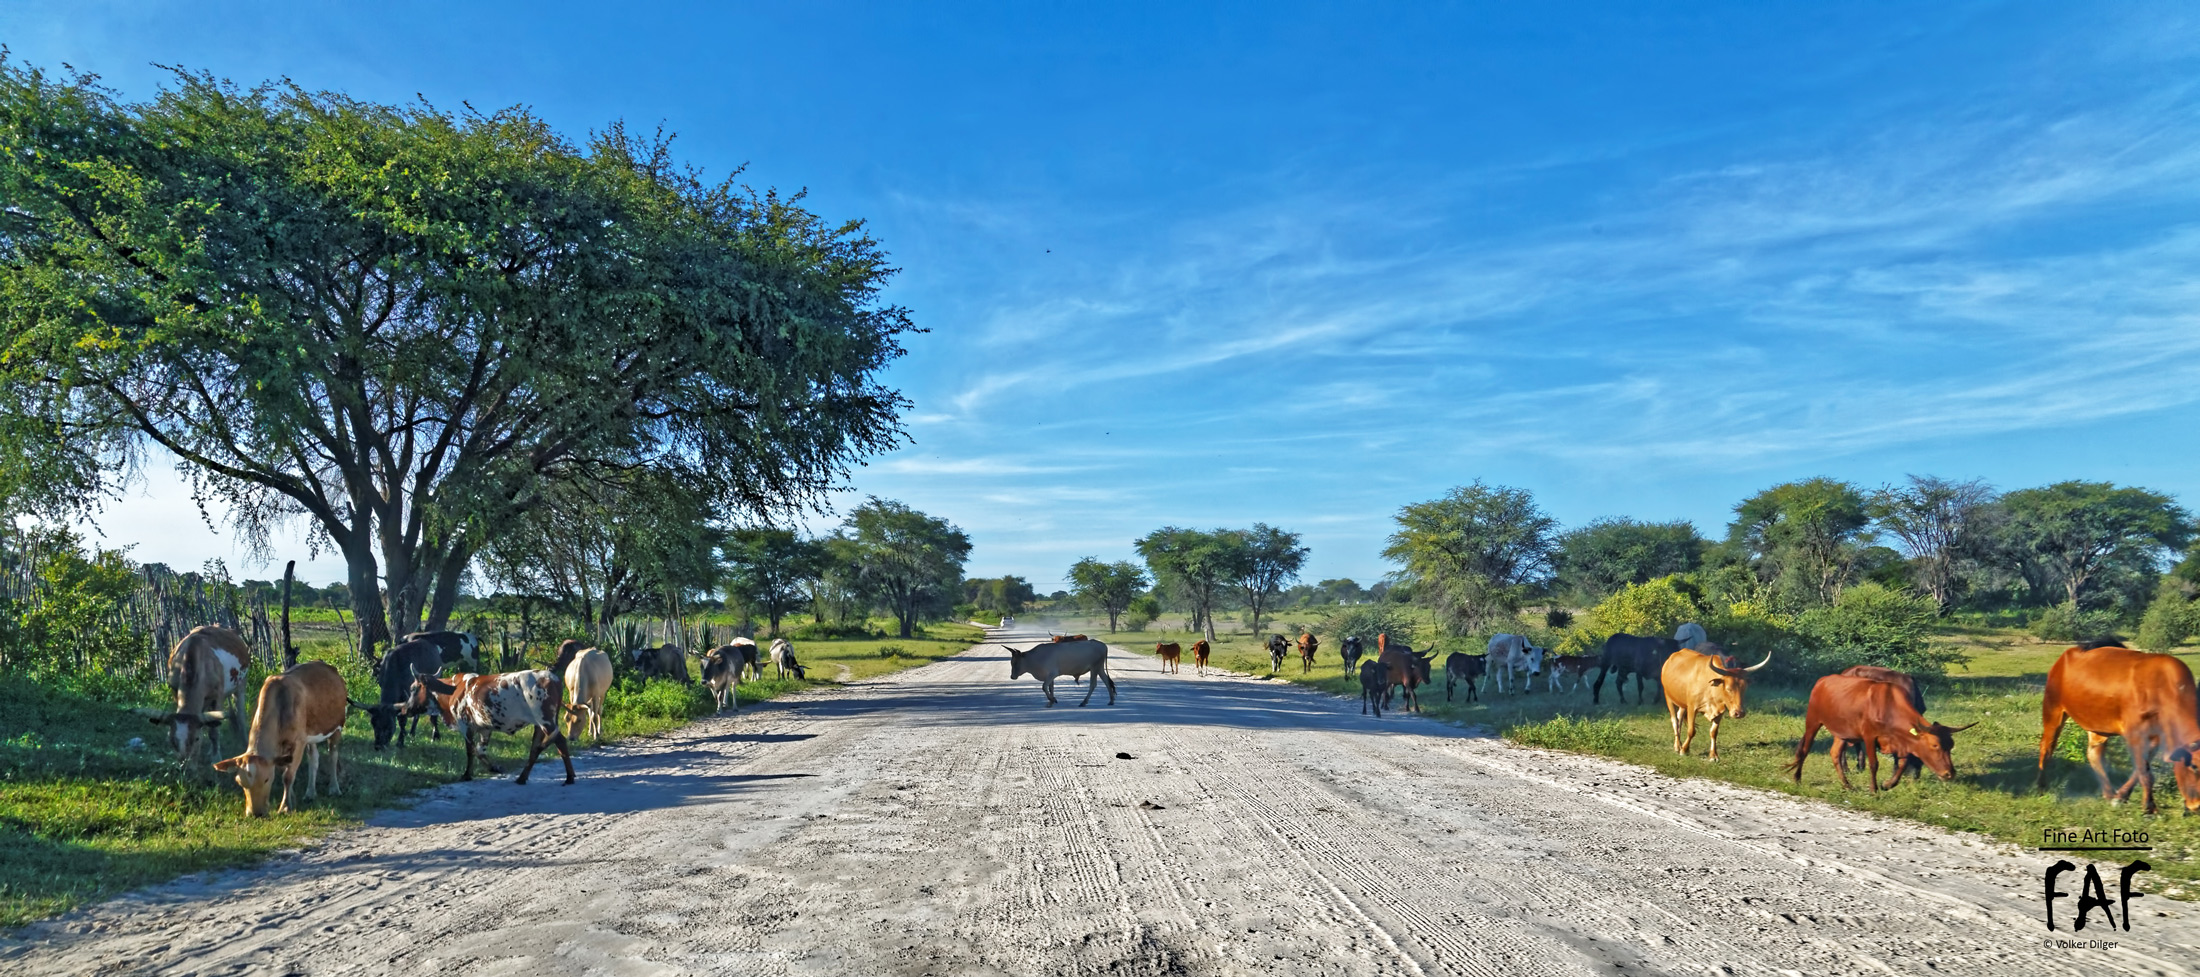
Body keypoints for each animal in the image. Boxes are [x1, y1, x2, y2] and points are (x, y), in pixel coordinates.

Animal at [139, 624, 251, 761]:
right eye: (172, 740)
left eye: (195, 739)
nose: (184, 760)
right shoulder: (175, 690)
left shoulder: (217, 696)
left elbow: (214, 731)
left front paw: (216, 757)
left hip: (241, 685)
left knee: (240, 715)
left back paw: (244, 742)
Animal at [212, 655, 345, 818]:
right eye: (239, 781)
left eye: (267, 779)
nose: (255, 813)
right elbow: (285, 771)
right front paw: (292, 798)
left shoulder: (298, 743)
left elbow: (287, 776)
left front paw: (285, 807)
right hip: (311, 734)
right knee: (314, 758)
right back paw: (310, 792)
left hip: (337, 726)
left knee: (333, 755)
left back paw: (334, 788)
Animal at [404, 673, 576, 787]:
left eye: (413, 688)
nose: (405, 709)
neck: (454, 689)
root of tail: (552, 677)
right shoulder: (484, 729)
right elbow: (480, 751)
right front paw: (494, 768)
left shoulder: (465, 725)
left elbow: (471, 751)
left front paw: (468, 774)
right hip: (540, 724)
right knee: (536, 749)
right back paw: (522, 778)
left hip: (545, 721)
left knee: (560, 741)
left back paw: (569, 777)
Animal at [1786, 673, 1980, 792]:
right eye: (1935, 745)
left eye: (1951, 745)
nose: (1950, 773)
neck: (1889, 708)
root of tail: (1823, 680)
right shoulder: (1869, 736)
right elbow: (1874, 764)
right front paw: (1874, 789)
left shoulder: (1900, 743)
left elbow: (1902, 764)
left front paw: (1887, 784)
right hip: (1813, 720)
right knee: (1805, 749)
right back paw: (1797, 778)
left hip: (1841, 732)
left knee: (1835, 754)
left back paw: (1848, 785)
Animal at [2024, 642, 2200, 818]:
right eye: (2194, 766)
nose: (2196, 806)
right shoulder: (2135, 734)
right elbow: (2145, 772)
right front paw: (2149, 808)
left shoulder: (2155, 736)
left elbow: (2139, 769)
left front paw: (2121, 796)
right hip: (2053, 709)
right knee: (2047, 747)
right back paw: (2040, 787)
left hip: (2097, 724)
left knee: (2094, 754)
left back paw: (2108, 794)